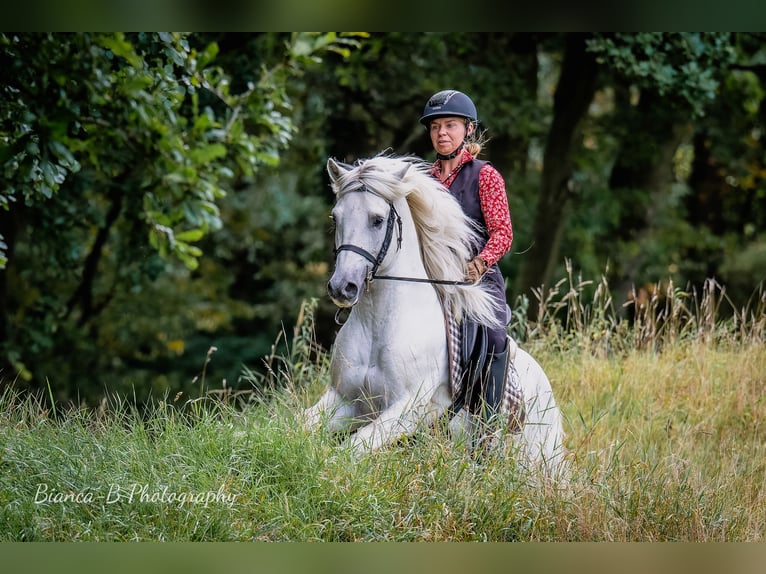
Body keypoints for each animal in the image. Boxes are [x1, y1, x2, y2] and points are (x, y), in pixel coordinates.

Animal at [303, 153, 566, 475]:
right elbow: (293, 426)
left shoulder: (405, 412)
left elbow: (347, 451)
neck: (381, 325)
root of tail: (547, 389)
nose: (343, 287)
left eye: (377, 220)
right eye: (335, 217)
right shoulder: (346, 401)